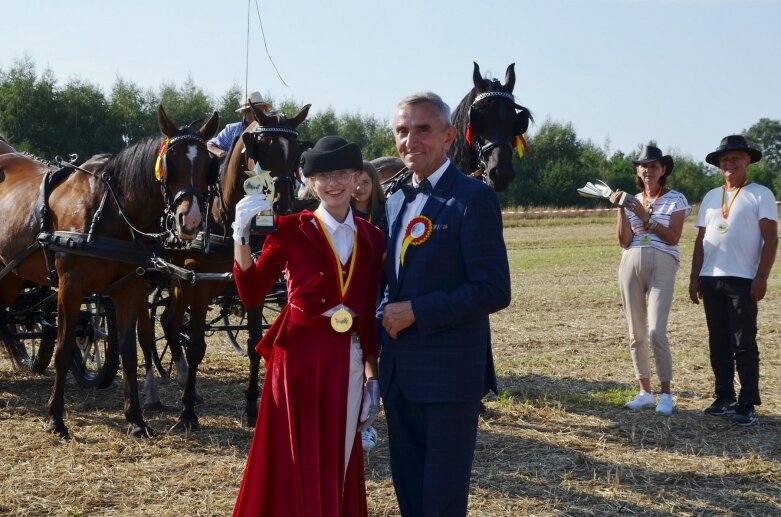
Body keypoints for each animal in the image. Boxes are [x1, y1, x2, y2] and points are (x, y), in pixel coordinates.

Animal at [0, 107, 218, 438]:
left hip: (11, 276)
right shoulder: (70, 287)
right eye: (172, 162)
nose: (190, 221)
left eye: (208, 165)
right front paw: (56, 420)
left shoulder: (128, 288)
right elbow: (64, 349)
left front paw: (136, 420)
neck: (108, 210)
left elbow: (128, 352)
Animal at [139, 103, 310, 430]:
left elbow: (255, 343)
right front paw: (187, 414)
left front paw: (251, 407)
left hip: (179, 281)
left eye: (296, 153)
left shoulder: (256, 288)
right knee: (146, 331)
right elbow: (196, 346)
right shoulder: (201, 286)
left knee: (169, 323)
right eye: (261, 149)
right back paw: (154, 394)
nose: (282, 207)